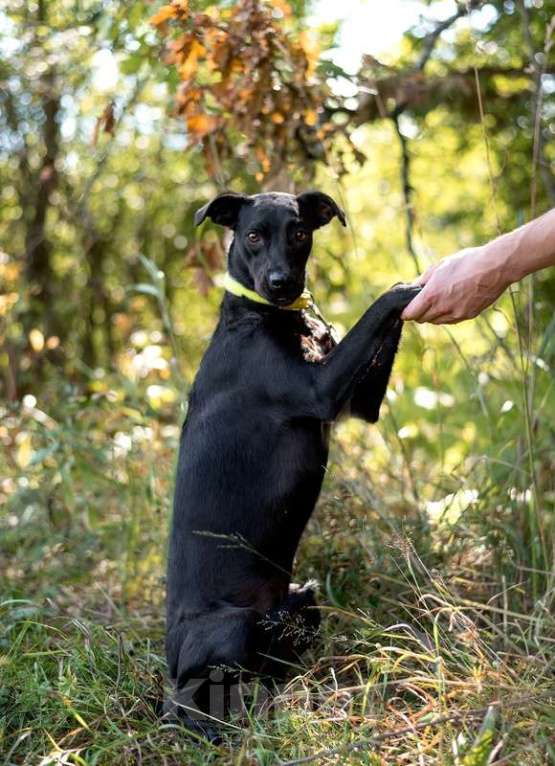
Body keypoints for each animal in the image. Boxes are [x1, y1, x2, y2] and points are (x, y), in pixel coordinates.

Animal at [165, 192, 422, 732]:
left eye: (299, 233)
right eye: (252, 236)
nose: (282, 283)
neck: (266, 315)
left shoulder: (359, 403)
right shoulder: (320, 390)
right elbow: (381, 307)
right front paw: (408, 285)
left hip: (304, 597)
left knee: (273, 660)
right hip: (231, 626)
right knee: (200, 701)